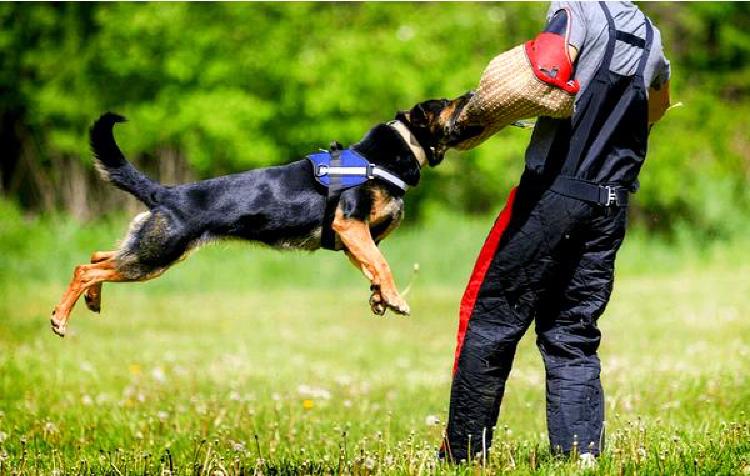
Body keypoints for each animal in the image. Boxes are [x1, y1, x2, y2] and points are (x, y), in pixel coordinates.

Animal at [50, 96, 472, 338]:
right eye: (447, 102)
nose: (470, 93)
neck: (385, 158)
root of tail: (166, 193)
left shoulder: (355, 239)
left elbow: (373, 267)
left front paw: (380, 300)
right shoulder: (350, 225)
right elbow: (382, 265)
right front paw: (395, 298)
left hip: (150, 250)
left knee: (98, 258)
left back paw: (91, 302)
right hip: (156, 255)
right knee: (85, 269)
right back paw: (60, 318)